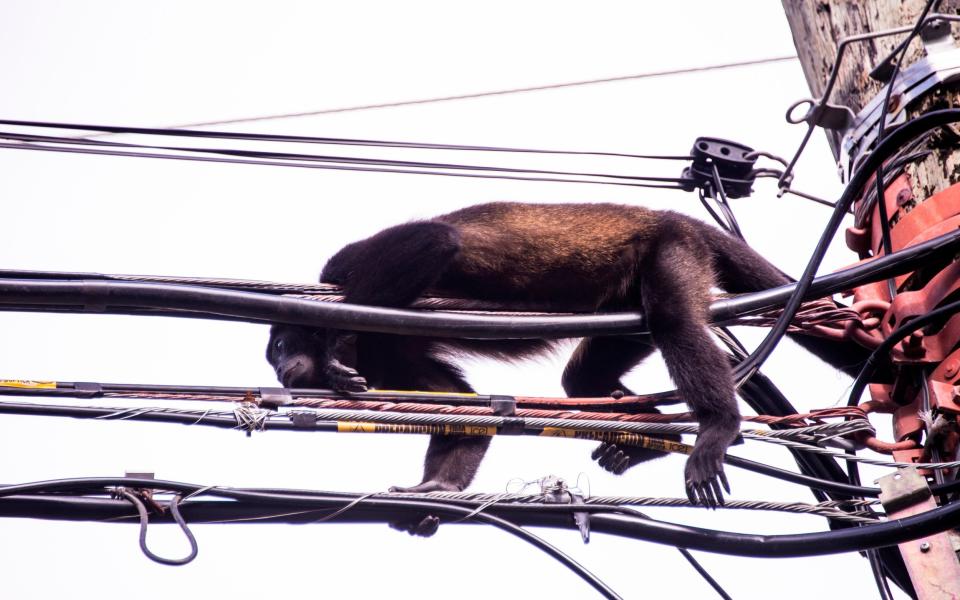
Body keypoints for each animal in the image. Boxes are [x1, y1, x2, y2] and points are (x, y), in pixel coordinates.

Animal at [264, 202, 872, 524]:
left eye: (277, 350)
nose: (279, 371)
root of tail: (675, 216)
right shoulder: (390, 355)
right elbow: (463, 412)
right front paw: (434, 490)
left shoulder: (344, 270)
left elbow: (434, 241)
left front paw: (331, 349)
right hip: (627, 294)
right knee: (583, 375)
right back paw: (644, 440)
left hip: (674, 249)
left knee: (674, 318)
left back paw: (717, 427)